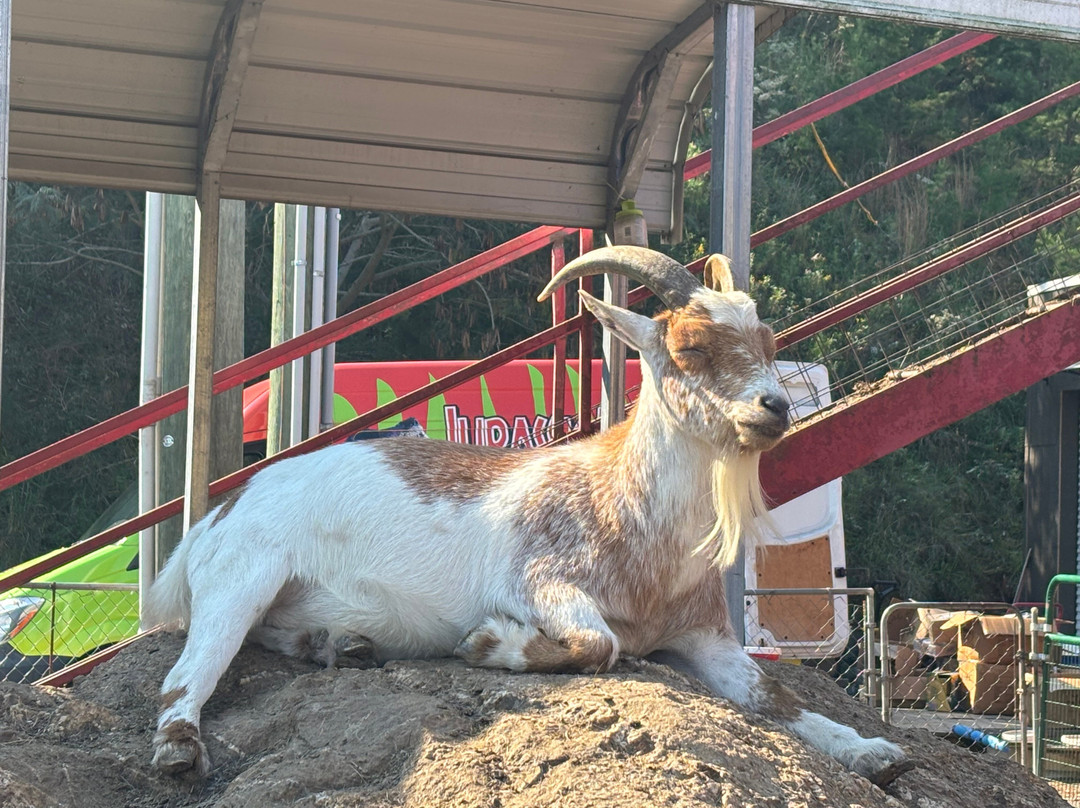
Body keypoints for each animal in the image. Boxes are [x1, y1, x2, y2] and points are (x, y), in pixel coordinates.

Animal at [145, 246, 911, 786]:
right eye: (689, 346)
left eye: (769, 342)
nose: (774, 408)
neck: (629, 515)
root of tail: (222, 510)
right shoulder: (540, 579)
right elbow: (600, 644)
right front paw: (489, 644)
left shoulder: (703, 634)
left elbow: (772, 694)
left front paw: (874, 750)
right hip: (246, 571)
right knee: (187, 674)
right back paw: (181, 748)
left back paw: (340, 646)